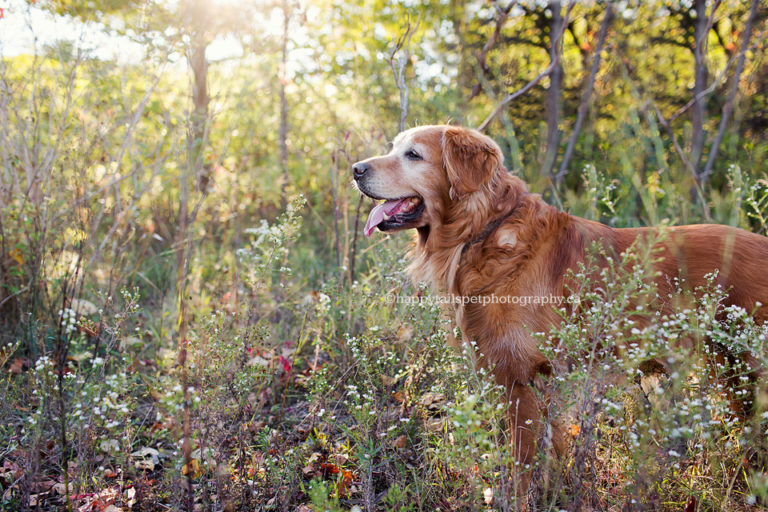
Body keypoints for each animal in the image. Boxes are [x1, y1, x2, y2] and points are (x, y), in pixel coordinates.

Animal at [354, 123, 768, 492]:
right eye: (394, 148)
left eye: (413, 154)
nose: (356, 169)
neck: (485, 232)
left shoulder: (523, 377)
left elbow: (523, 463)